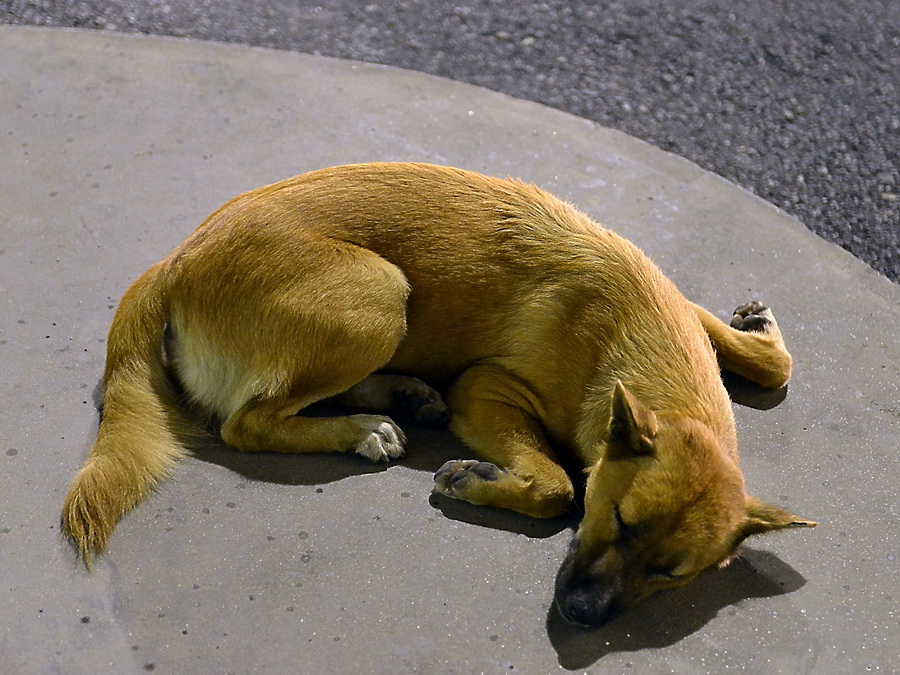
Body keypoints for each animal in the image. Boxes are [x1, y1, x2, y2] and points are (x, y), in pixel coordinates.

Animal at [61, 161, 816, 624]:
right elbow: (558, 487)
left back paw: (399, 395)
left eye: (670, 575)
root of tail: (173, 262)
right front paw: (484, 480)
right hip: (380, 294)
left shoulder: (678, 307)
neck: (635, 332)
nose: (582, 617)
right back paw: (364, 428)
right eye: (621, 522)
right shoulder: (486, 391)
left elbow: (772, 365)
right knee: (246, 423)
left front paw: (758, 333)